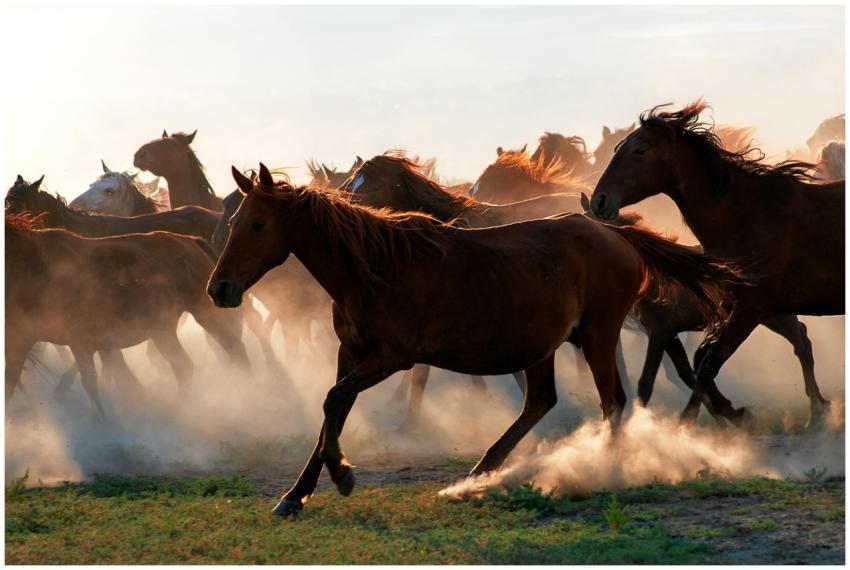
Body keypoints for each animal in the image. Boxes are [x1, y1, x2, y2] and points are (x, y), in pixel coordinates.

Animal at [208, 163, 744, 516]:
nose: (220, 289)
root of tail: (614, 234)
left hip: (595, 336)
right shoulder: (350, 353)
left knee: (612, 401)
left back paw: (603, 470)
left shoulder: (392, 357)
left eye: (258, 223)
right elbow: (331, 410)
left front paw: (342, 475)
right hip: (543, 345)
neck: (375, 269)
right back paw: (482, 471)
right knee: (541, 401)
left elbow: (335, 401)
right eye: (234, 221)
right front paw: (295, 494)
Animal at [590, 100, 844, 427]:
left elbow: (710, 361)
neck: (748, 214)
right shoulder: (731, 308)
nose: (600, 200)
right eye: (616, 148)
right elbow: (701, 360)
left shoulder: (750, 307)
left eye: (640, 151)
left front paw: (689, 423)